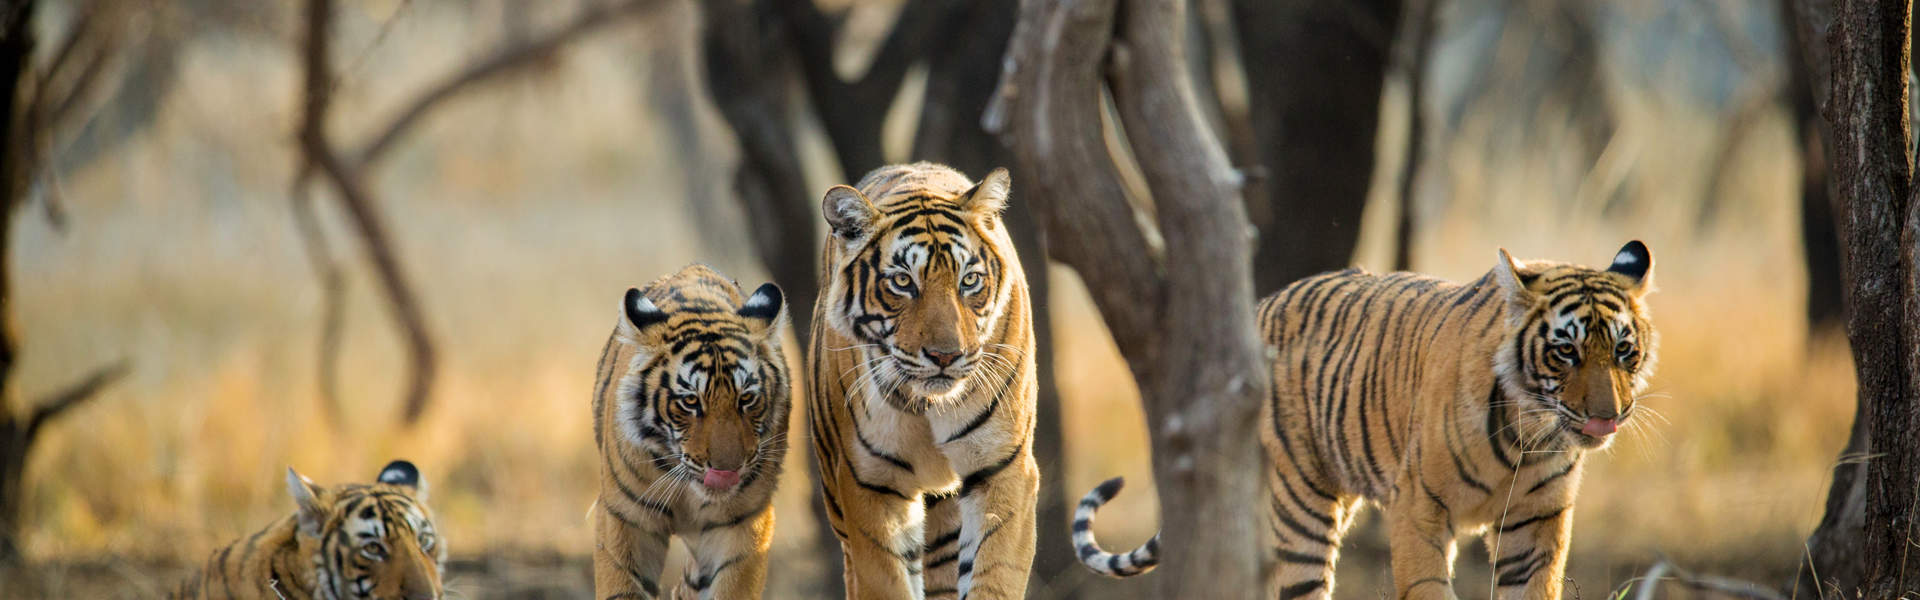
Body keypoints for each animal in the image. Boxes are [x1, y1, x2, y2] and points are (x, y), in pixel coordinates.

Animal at [808, 162, 1039, 600]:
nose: (945, 356)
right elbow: (886, 581)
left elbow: (993, 573)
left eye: (969, 280)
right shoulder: (871, 484)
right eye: (902, 282)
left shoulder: (1002, 468)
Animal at [1072, 241, 1660, 600]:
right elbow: (1427, 587)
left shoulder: (1536, 521)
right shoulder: (1419, 508)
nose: (1607, 417)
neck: (1529, 436)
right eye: (1566, 352)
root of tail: (1260, 305)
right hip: (1301, 502)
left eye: (1623, 351)